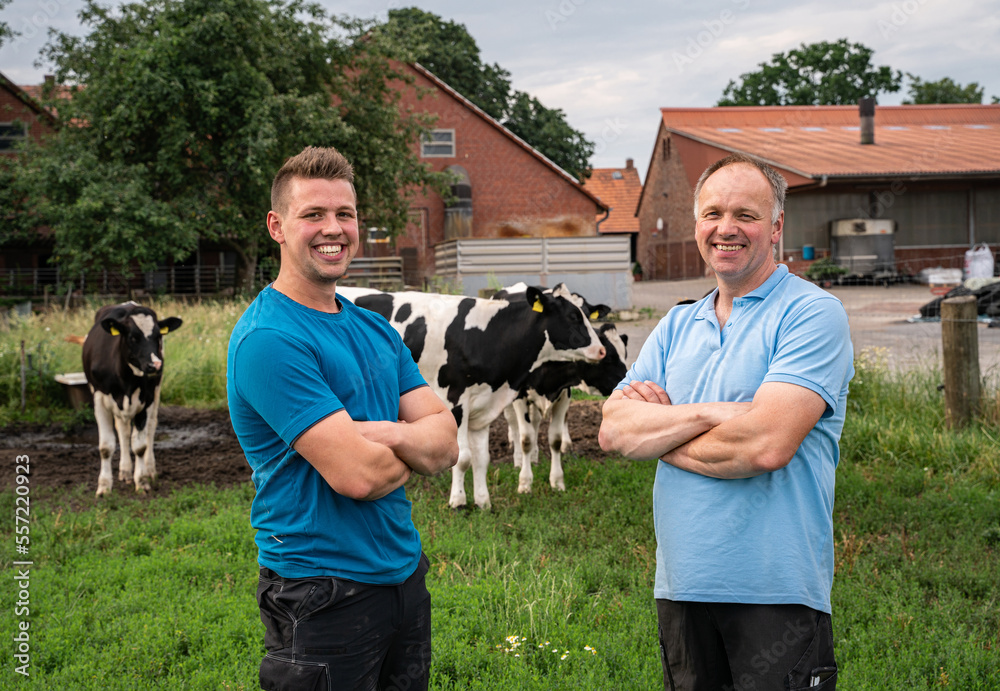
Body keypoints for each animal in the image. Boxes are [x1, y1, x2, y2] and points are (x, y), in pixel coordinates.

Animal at [81, 302, 183, 498]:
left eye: (158, 336)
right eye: (133, 337)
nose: (155, 365)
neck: (126, 378)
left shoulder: (147, 399)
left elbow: (140, 446)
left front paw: (142, 482)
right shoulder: (99, 398)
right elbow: (105, 447)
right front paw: (104, 486)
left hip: (156, 392)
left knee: (150, 427)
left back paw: (149, 469)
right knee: (123, 430)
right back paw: (125, 471)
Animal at [336, 286, 604, 508]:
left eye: (587, 314)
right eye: (572, 316)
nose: (601, 350)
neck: (482, 335)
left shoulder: (482, 407)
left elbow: (482, 459)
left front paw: (483, 501)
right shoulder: (454, 403)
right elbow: (462, 457)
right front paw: (458, 501)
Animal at [496, 284, 628, 494]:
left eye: (625, 354)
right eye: (609, 357)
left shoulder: (563, 391)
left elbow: (555, 438)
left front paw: (557, 481)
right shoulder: (520, 396)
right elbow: (525, 438)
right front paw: (524, 482)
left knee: (535, 421)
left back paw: (535, 455)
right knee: (513, 423)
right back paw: (517, 457)